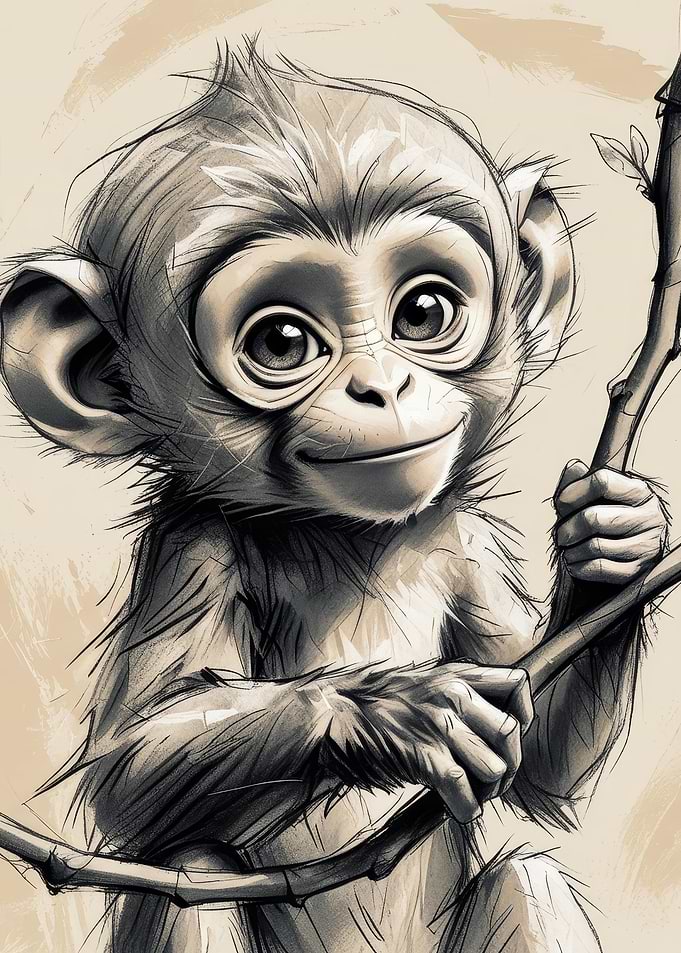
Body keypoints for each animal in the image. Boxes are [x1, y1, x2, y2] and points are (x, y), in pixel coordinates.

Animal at [0, 43, 669, 953]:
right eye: (283, 341)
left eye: (422, 311)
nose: (380, 386)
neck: (350, 536)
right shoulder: (191, 542)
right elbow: (125, 771)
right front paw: (394, 712)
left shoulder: (463, 540)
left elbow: (542, 772)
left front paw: (612, 545)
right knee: (196, 868)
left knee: (526, 876)